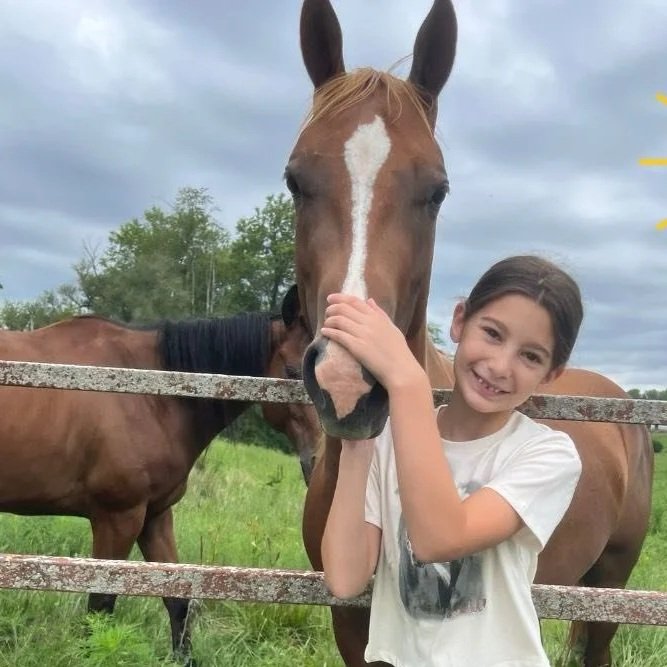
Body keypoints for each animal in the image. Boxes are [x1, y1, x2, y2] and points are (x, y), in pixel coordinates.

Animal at [0, 285, 319, 666]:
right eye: (292, 372)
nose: (317, 462)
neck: (153, 392)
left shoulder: (155, 516)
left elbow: (177, 597)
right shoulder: (117, 518)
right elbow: (100, 604)